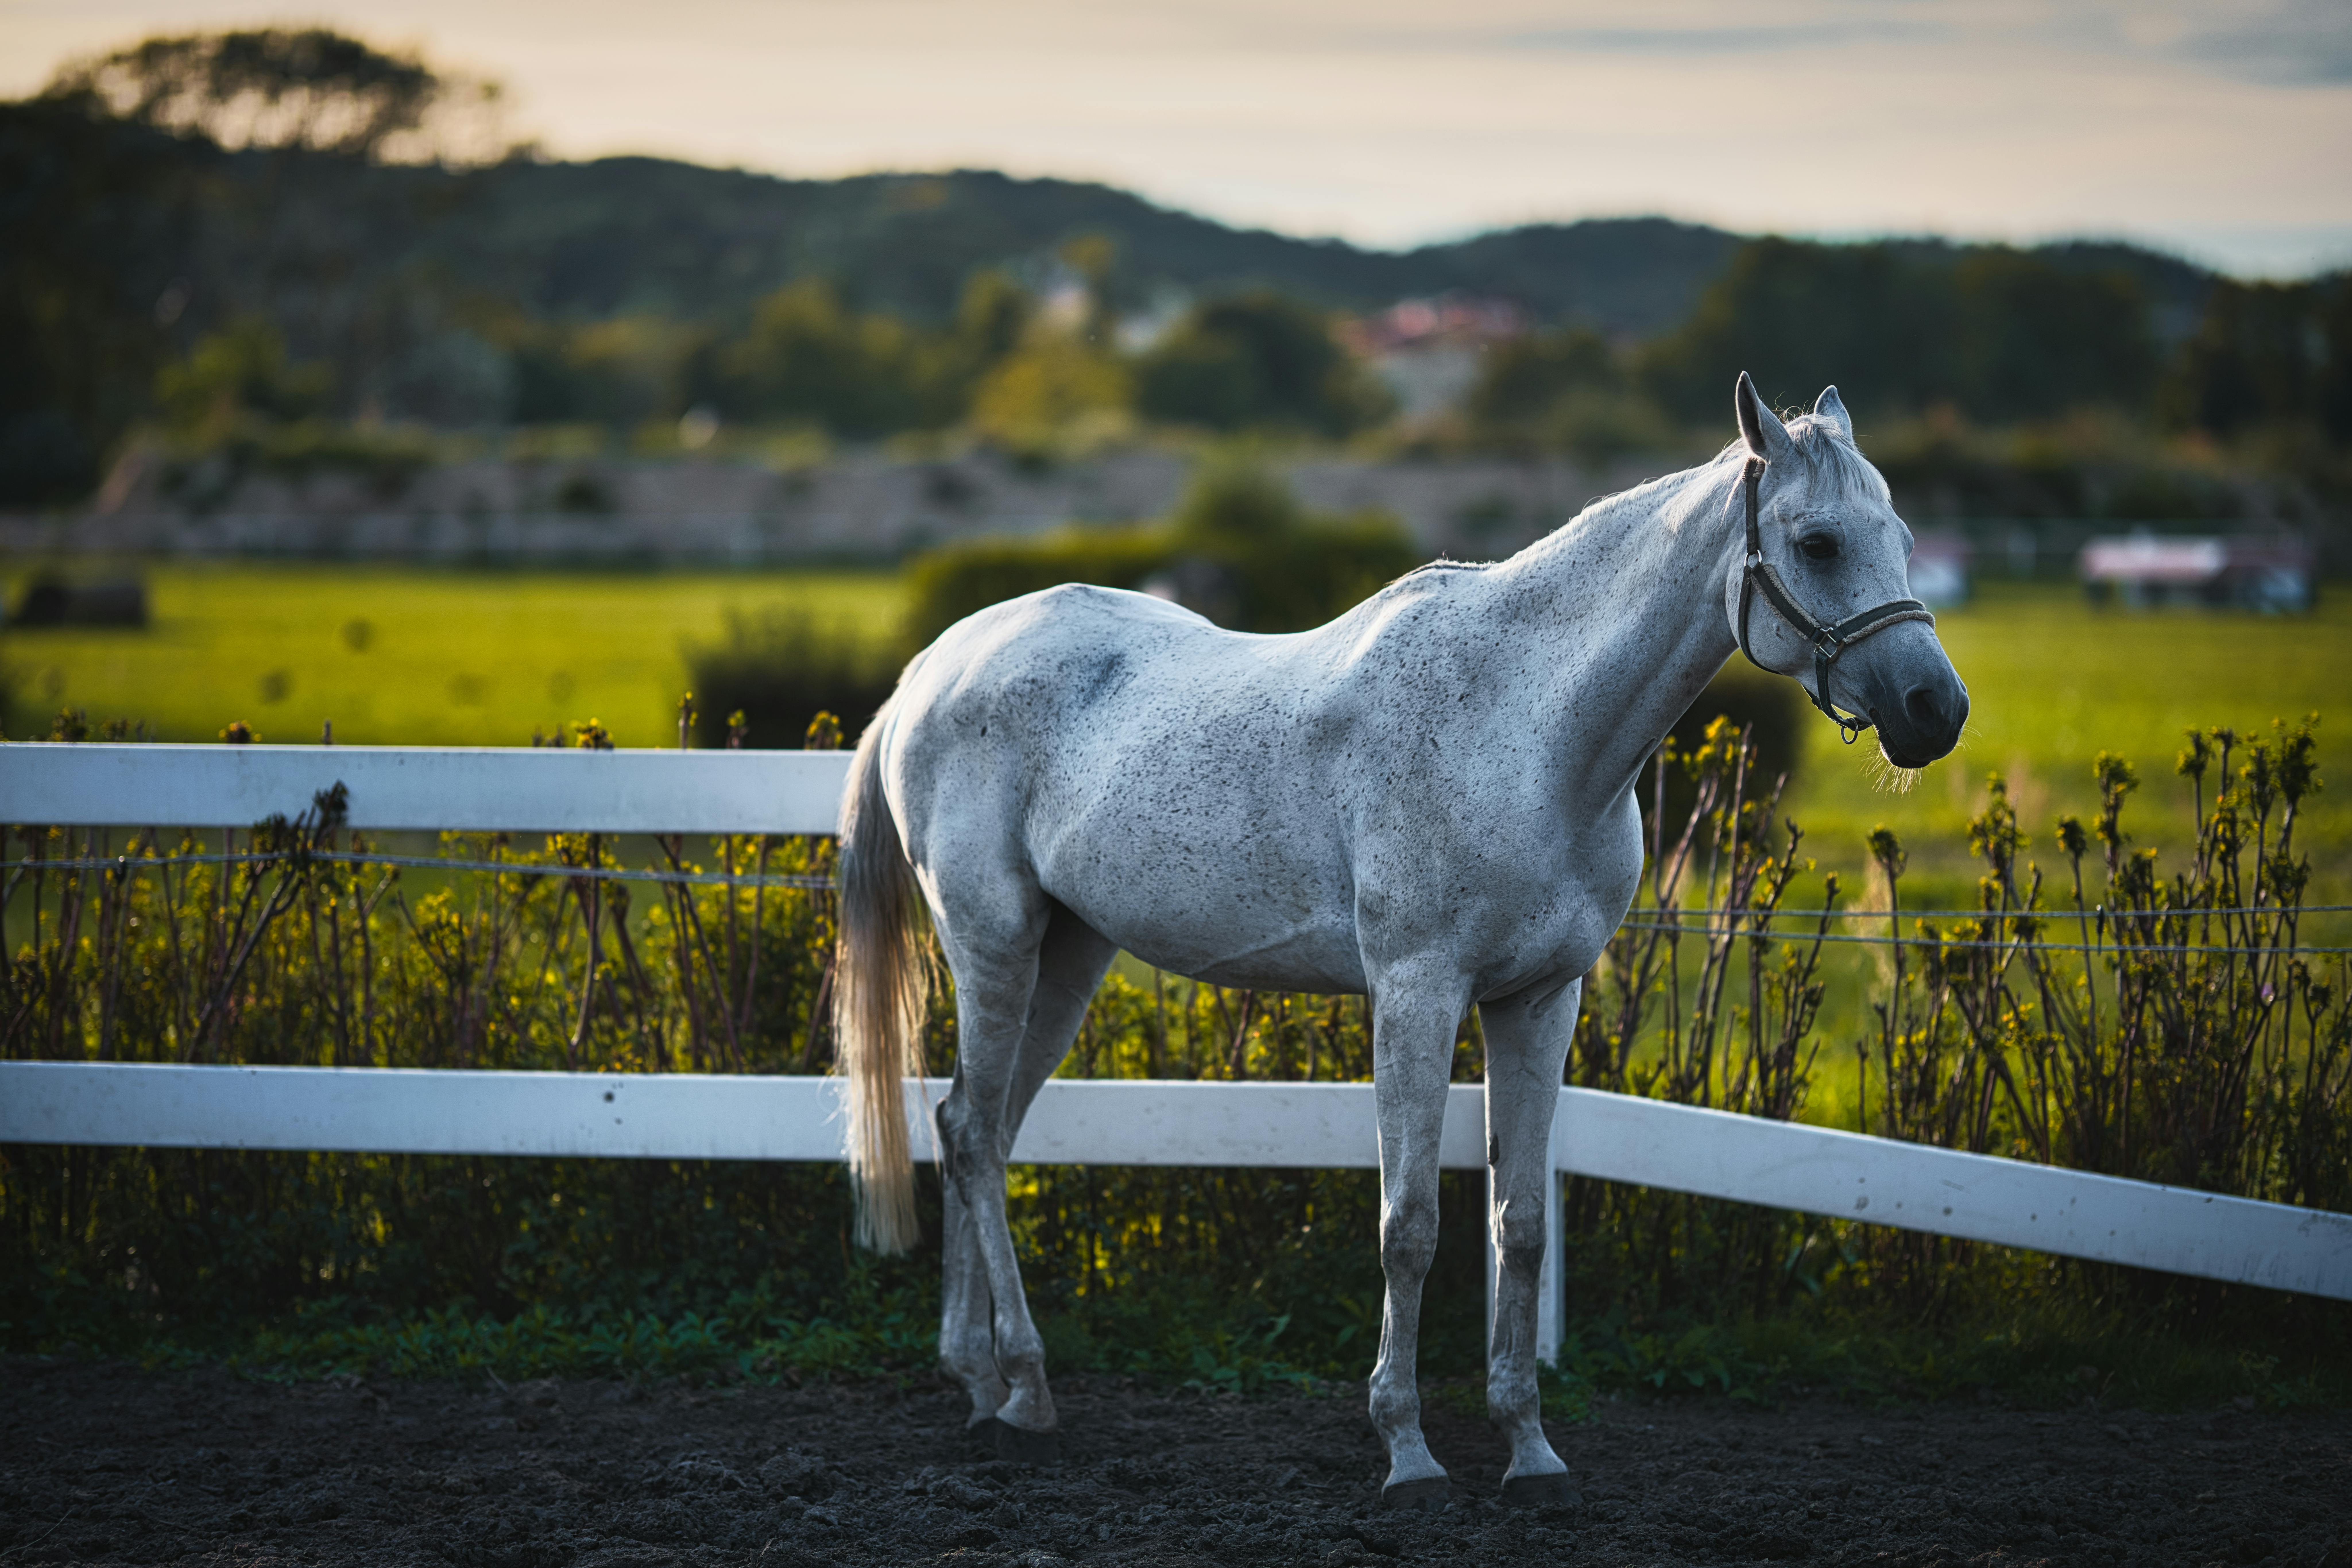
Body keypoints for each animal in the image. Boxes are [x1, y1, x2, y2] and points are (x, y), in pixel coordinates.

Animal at [830, 373, 1968, 1506]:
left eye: (1905, 535)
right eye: (1818, 541)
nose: (1934, 709)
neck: (1524, 726)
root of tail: (935, 666)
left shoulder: (1538, 999)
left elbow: (1521, 1223)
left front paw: (1527, 1447)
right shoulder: (1418, 993)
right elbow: (1410, 1224)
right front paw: (1408, 1449)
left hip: (1068, 955)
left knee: (973, 1124)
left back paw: (980, 1378)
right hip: (994, 941)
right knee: (975, 1136)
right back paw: (1025, 1386)